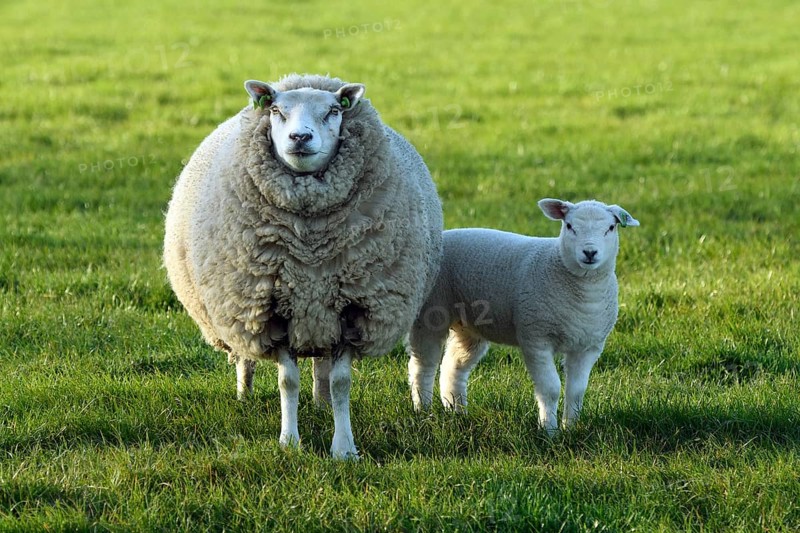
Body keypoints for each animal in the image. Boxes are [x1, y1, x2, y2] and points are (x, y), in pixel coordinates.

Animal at [164, 74, 443, 459]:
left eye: (333, 111)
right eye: (276, 111)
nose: (300, 138)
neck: (310, 249)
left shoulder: (351, 312)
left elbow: (341, 383)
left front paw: (344, 448)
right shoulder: (272, 311)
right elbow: (287, 382)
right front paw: (290, 442)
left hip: (318, 318)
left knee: (321, 369)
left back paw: (321, 403)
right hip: (244, 313)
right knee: (246, 358)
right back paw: (244, 395)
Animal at [406, 198, 638, 432]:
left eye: (611, 227)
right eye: (570, 226)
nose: (589, 252)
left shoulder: (588, 346)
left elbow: (577, 391)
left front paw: (571, 428)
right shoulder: (536, 338)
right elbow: (551, 389)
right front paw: (549, 430)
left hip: (468, 325)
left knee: (453, 366)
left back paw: (457, 411)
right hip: (430, 313)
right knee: (422, 366)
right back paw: (424, 411)